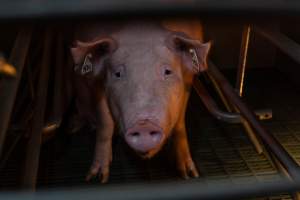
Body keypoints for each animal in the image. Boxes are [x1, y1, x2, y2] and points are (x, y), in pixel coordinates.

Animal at [70, 19, 211, 183]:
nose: (144, 124)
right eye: (118, 74)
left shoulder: (189, 78)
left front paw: (189, 174)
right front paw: (97, 178)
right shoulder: (96, 83)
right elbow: (105, 123)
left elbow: (180, 123)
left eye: (167, 71)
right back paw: (74, 127)